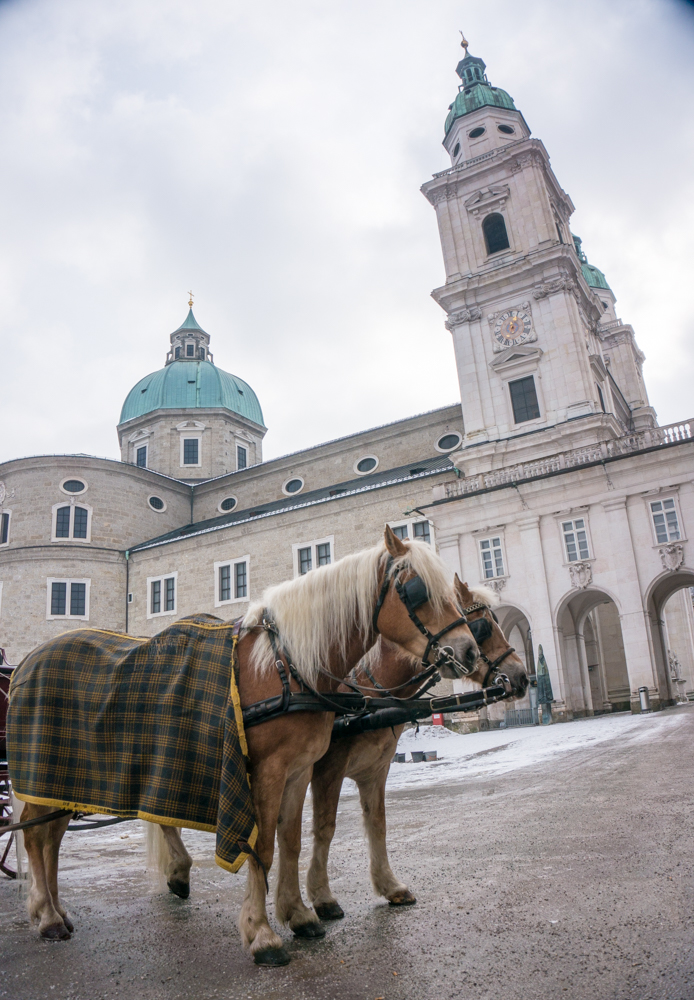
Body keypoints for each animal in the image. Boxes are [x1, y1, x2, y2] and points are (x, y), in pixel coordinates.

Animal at [10, 528, 482, 964]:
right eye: (417, 591)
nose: (468, 653)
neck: (287, 668)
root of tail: (27, 661)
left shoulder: (299, 771)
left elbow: (291, 841)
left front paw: (298, 914)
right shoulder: (267, 771)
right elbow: (264, 847)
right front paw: (262, 934)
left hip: (62, 783)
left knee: (50, 837)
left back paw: (57, 910)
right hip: (43, 776)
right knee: (34, 836)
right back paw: (48, 917)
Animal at [304, 580, 528, 920]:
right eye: (482, 627)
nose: (521, 676)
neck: (366, 698)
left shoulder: (376, 770)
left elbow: (378, 824)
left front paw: (389, 885)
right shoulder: (326, 769)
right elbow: (324, 828)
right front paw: (322, 897)